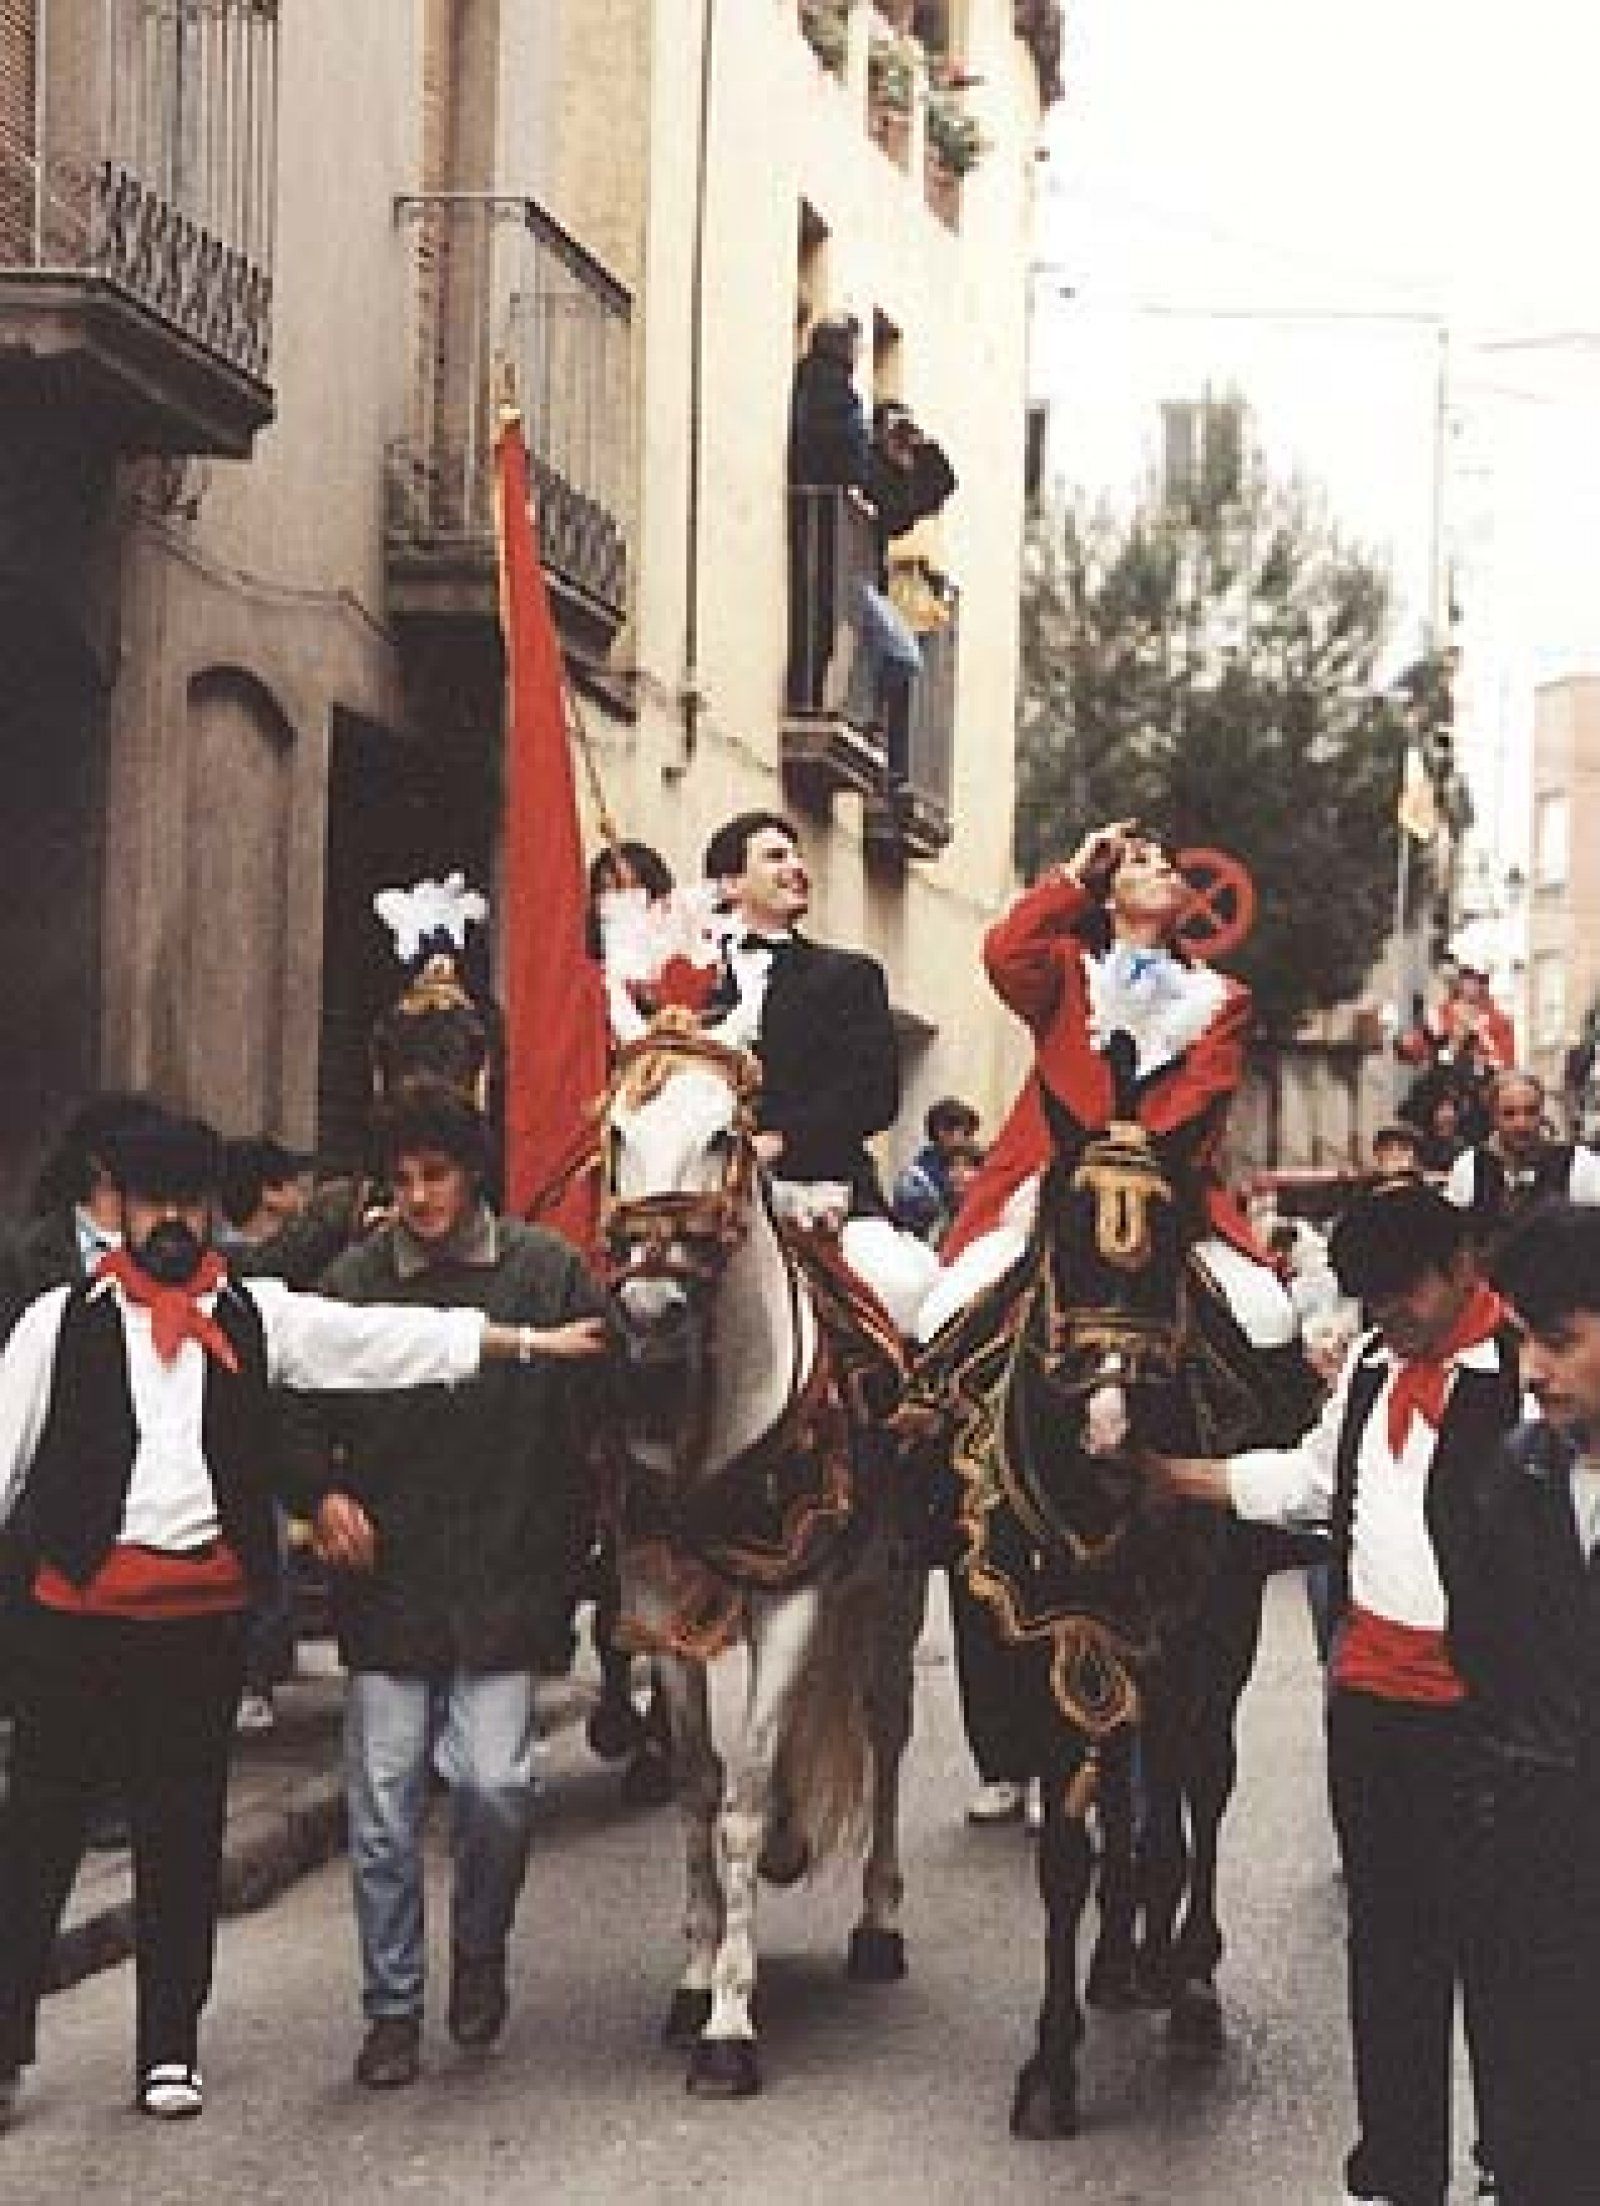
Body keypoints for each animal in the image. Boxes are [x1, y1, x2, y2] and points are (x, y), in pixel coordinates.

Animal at [600, 1010, 922, 2091]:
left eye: (723, 1135)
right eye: (615, 1134)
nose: (650, 1308)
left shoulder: (793, 1601)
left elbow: (740, 1802)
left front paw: (730, 2026)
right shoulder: (659, 1605)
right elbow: (701, 1791)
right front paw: (695, 1980)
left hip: (892, 1587)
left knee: (885, 1728)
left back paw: (876, 1922)